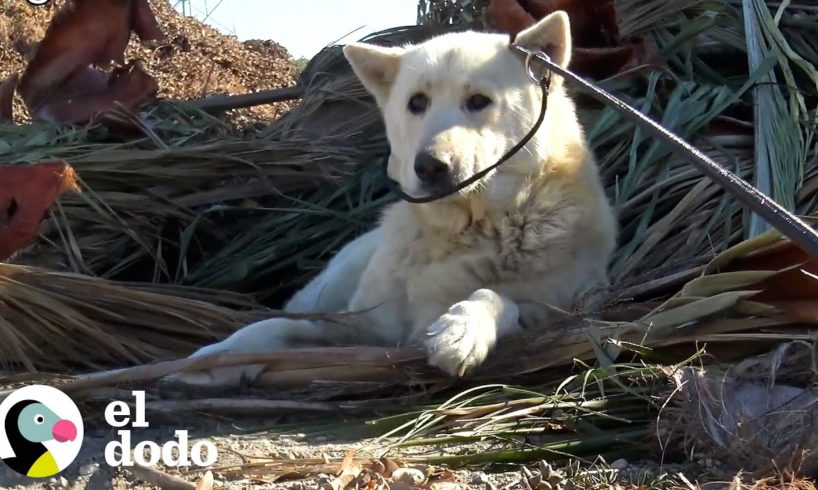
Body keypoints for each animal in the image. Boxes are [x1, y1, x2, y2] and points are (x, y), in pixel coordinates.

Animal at [175, 11, 616, 384]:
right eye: (416, 103)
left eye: (479, 102)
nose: (431, 166)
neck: (465, 226)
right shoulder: (360, 331)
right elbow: (272, 327)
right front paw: (213, 357)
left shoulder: (556, 313)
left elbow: (498, 297)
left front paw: (462, 329)